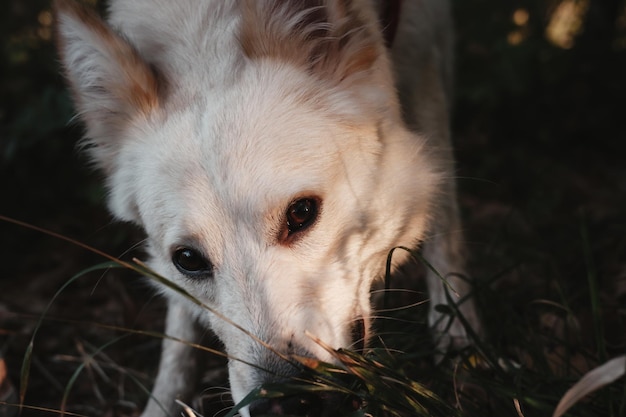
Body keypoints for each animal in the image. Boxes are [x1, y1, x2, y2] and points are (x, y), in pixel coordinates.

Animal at [54, 0, 478, 412]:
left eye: (301, 213)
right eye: (188, 259)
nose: (282, 403)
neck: (203, 29)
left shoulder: (423, 63)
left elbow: (446, 229)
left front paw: (461, 343)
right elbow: (178, 327)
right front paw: (163, 400)